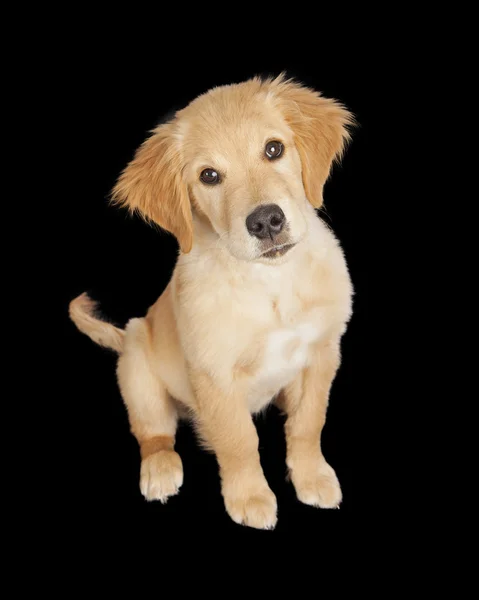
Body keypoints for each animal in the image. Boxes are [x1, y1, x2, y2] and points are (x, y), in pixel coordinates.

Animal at [69, 74, 354, 528]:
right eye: (209, 176)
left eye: (273, 149)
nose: (266, 221)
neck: (270, 283)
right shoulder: (214, 375)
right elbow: (239, 442)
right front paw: (250, 496)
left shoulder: (322, 353)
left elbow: (309, 423)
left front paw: (312, 476)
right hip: (136, 367)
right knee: (153, 433)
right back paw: (160, 468)